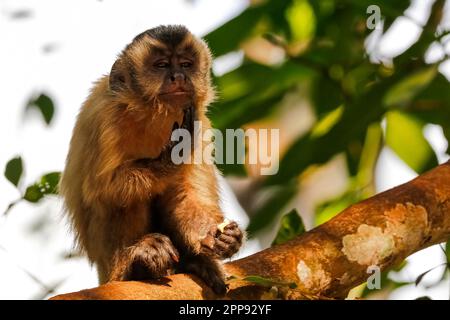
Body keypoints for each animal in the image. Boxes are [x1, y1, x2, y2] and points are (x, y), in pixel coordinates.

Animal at [60, 25, 243, 296]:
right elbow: (100, 189)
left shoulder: (200, 121)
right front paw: (171, 158)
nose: (178, 76)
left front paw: (218, 236)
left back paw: (196, 262)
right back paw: (137, 265)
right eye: (162, 65)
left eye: (186, 64)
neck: (151, 115)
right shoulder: (105, 116)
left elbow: (186, 194)